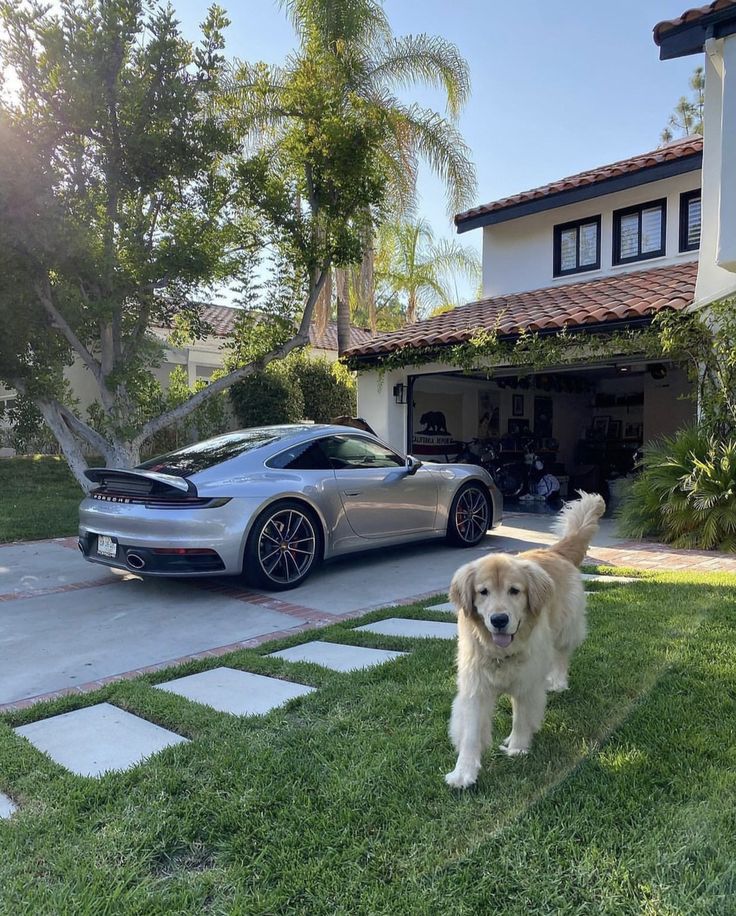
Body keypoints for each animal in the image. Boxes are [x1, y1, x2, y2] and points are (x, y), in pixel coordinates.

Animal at [442, 494, 604, 788]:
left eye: (514, 591)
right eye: (483, 592)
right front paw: (464, 772)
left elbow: (521, 715)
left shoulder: (527, 682)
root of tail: (556, 551)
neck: (500, 653)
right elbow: (470, 731)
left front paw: (517, 746)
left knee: (561, 655)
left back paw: (558, 681)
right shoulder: (475, 686)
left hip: (565, 629)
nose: (499, 619)